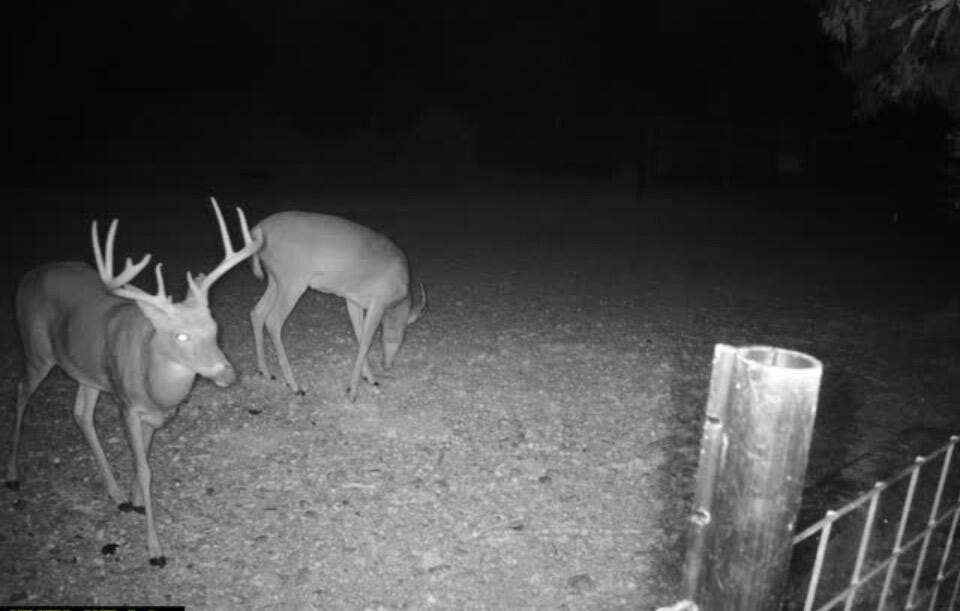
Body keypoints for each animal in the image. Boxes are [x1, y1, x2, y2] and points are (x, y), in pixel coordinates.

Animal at [4, 197, 262, 567]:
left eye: (215, 327)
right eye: (180, 335)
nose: (228, 374)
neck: (154, 383)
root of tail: (29, 275)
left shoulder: (153, 414)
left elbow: (145, 458)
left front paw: (135, 499)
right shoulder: (126, 404)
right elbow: (144, 468)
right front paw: (155, 550)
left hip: (87, 370)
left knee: (81, 413)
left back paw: (116, 495)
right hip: (37, 347)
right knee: (22, 390)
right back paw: (12, 475)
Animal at [249, 211, 426, 401]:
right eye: (401, 339)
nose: (387, 365)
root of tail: (259, 229)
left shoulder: (353, 302)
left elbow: (359, 336)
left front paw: (369, 378)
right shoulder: (377, 304)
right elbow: (366, 342)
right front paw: (353, 392)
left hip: (275, 281)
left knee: (257, 313)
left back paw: (266, 372)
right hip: (292, 284)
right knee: (273, 321)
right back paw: (295, 386)